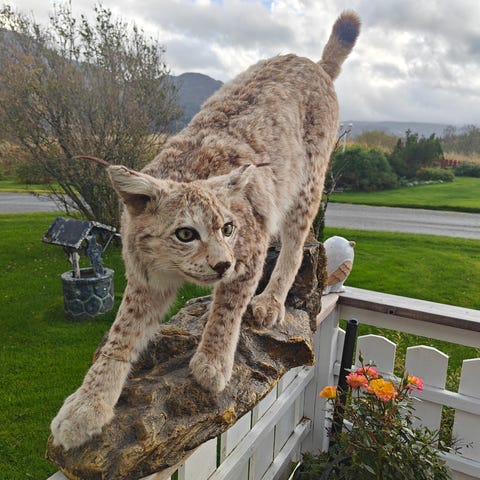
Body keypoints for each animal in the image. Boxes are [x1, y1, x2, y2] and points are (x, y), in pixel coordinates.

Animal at [51, 10, 360, 450]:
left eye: (228, 228)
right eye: (185, 234)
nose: (221, 265)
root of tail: (310, 62)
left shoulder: (247, 252)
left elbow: (227, 308)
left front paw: (213, 361)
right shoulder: (145, 278)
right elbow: (120, 335)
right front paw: (86, 405)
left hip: (308, 184)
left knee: (296, 244)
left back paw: (271, 300)